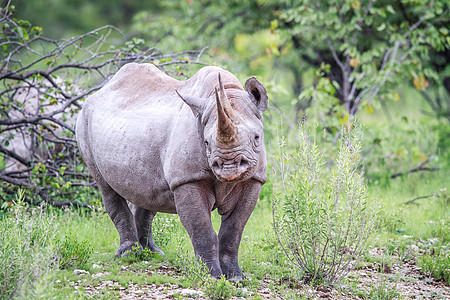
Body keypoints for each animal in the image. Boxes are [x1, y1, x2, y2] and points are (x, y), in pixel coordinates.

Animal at [76, 62, 268, 280]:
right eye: (206, 143)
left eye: (257, 137)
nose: (230, 165)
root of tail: (101, 91)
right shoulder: (187, 179)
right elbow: (201, 228)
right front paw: (211, 277)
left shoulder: (254, 179)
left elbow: (233, 230)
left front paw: (235, 277)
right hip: (83, 121)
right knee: (106, 187)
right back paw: (128, 255)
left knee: (147, 191)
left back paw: (151, 253)